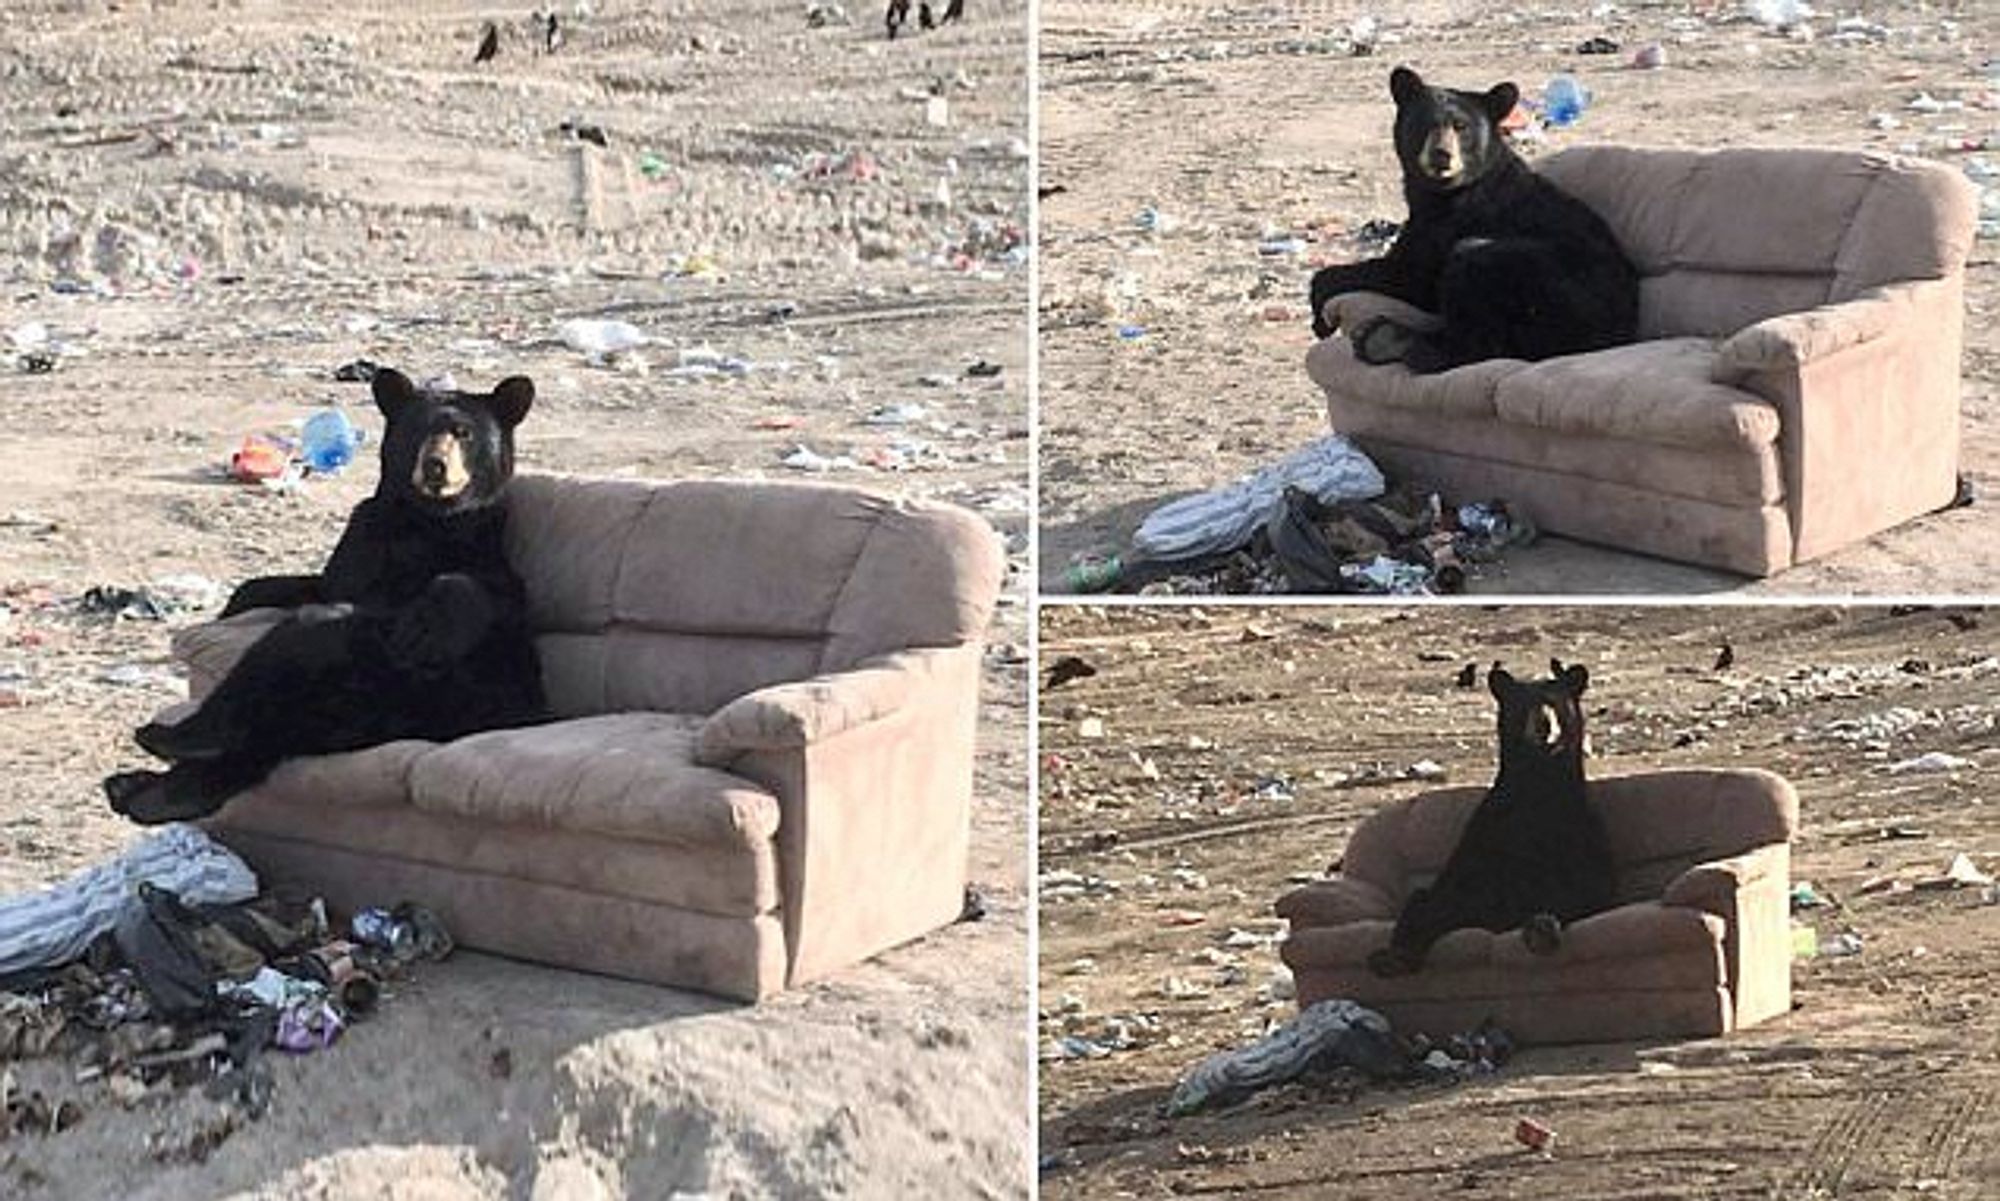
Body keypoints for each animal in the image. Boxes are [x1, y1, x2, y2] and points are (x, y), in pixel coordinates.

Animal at [104, 366, 548, 824]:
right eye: (418, 429)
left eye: (464, 433)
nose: (435, 466)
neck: (425, 520)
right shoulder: (362, 539)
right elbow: (308, 583)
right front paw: (237, 602)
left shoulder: (483, 547)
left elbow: (491, 594)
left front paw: (429, 624)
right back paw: (152, 775)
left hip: (415, 690)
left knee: (306, 645)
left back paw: (165, 763)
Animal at [1312, 67, 1640, 376]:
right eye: (1426, 122)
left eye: (1461, 127)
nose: (1442, 154)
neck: (1442, 195)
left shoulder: (1459, 221)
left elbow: (1412, 276)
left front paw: (1320, 317)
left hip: (1554, 291)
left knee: (1476, 300)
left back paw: (1400, 343)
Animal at [1368, 656, 1616, 976]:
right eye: (1521, 704)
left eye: (1555, 703)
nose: (1543, 726)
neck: (1539, 782)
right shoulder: (1487, 834)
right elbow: (1444, 895)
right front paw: (1396, 953)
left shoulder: (1580, 830)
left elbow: (1584, 889)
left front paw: (1542, 926)